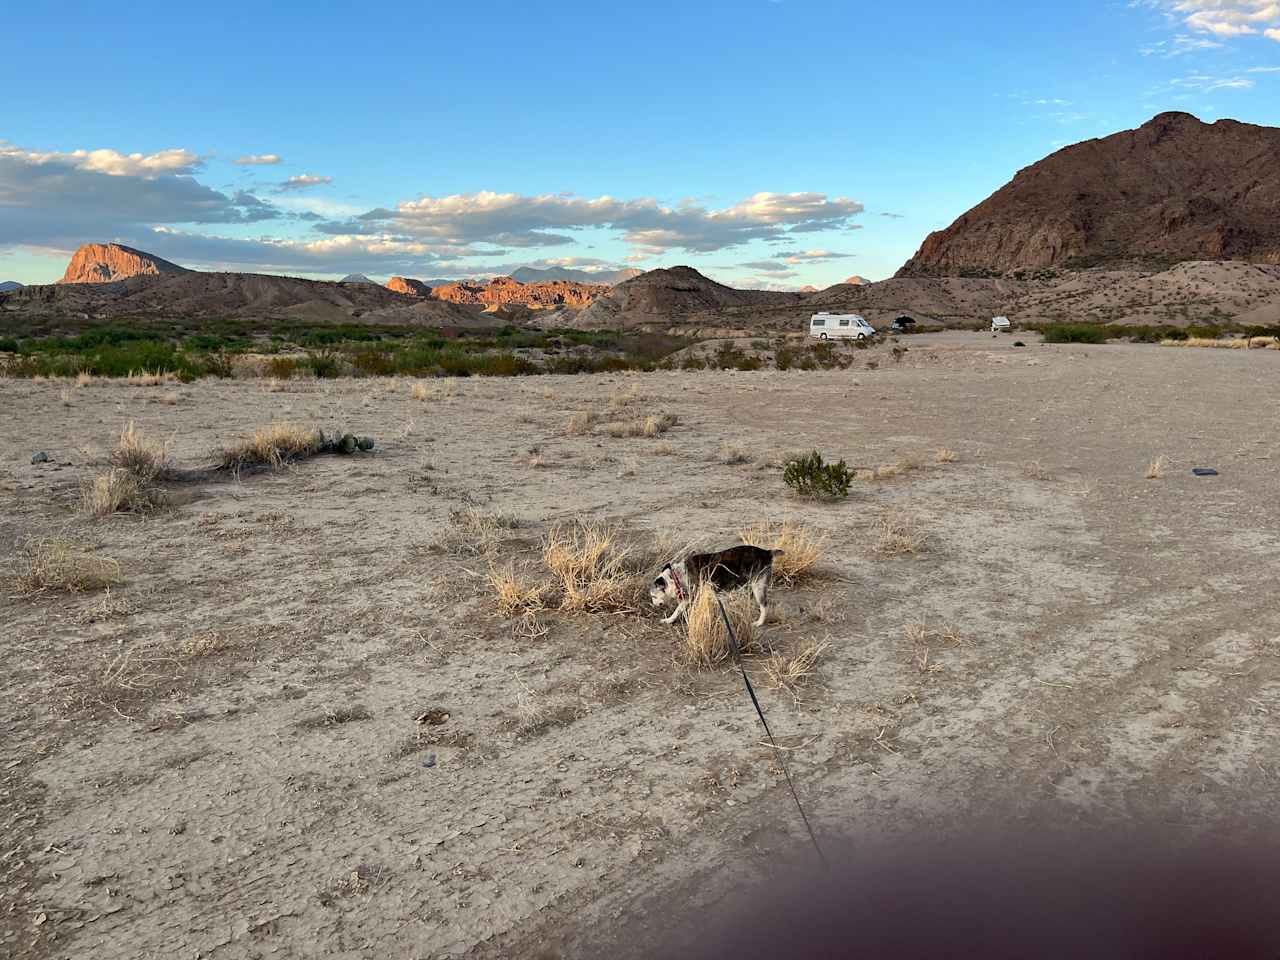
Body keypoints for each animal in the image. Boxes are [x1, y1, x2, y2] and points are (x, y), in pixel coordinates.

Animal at [650, 545, 778, 627]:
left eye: (653, 596)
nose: (653, 605)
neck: (675, 576)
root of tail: (767, 552)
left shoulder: (692, 597)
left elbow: (677, 610)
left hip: (758, 587)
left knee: (764, 606)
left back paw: (759, 622)